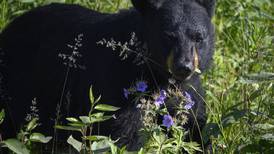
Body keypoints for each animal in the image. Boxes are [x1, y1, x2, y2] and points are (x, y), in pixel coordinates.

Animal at [0, 0, 214, 150]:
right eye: (168, 37)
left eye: (198, 37)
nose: (183, 66)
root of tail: (8, 28)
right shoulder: (121, 84)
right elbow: (123, 135)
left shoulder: (189, 91)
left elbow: (196, 125)